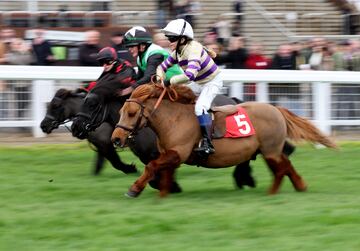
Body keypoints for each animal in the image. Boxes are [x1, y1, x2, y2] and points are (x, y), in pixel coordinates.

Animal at [112, 83, 338, 197]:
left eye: (131, 113)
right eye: (120, 111)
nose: (116, 139)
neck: (173, 119)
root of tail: (276, 109)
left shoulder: (177, 153)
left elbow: (151, 166)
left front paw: (134, 189)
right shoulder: (170, 155)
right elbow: (164, 175)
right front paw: (164, 193)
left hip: (270, 151)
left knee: (281, 169)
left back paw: (272, 192)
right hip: (269, 151)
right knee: (286, 165)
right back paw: (299, 186)